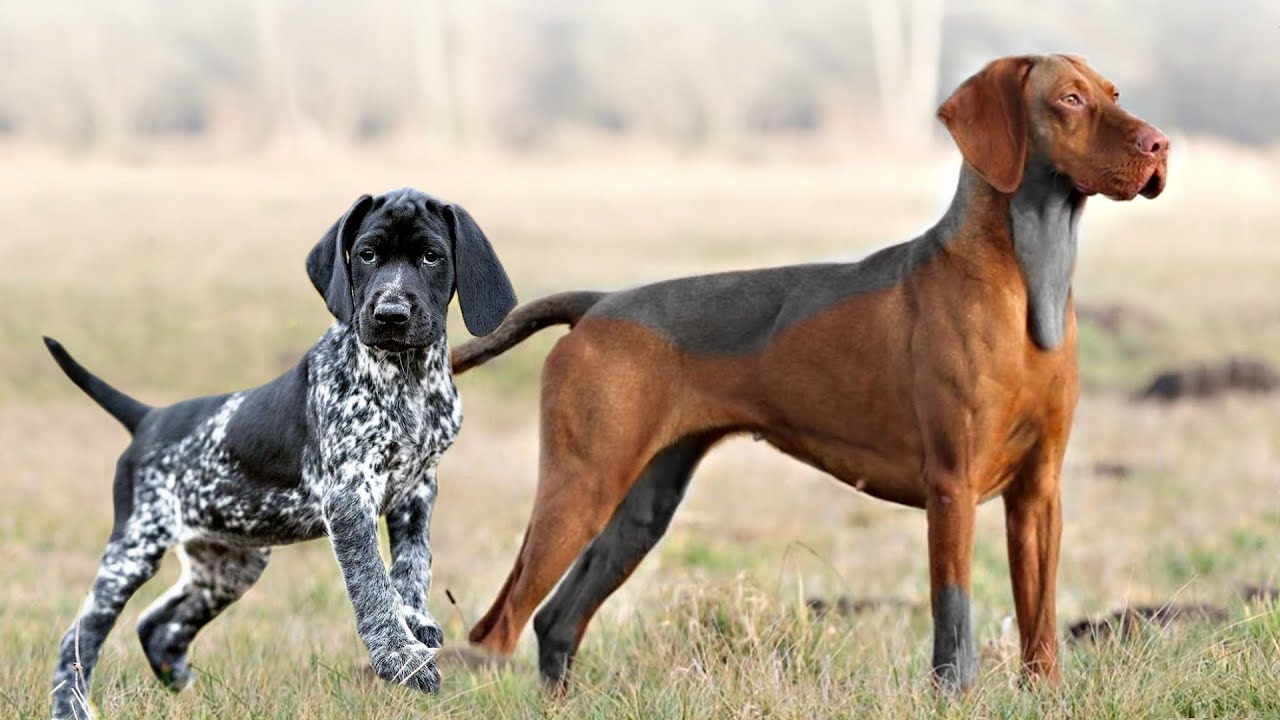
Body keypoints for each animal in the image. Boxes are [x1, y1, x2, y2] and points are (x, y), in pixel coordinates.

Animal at [45, 188, 517, 712]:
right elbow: (373, 582)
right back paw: (71, 707)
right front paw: (400, 657)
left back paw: (183, 688)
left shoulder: (417, 489)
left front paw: (416, 622)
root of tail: (147, 417)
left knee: (157, 625)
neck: (406, 378)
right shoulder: (349, 498)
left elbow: (413, 564)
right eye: (368, 255)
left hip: (231, 564)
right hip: (136, 547)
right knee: (78, 638)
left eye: (432, 257)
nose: (390, 314)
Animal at [450, 53, 1172, 686]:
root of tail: (598, 303)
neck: (1025, 286)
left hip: (639, 512)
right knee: (499, 631)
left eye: (1113, 92)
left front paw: (1046, 695)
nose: (1161, 145)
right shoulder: (952, 489)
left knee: (555, 622)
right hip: (581, 489)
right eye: (1070, 99)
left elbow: (1040, 626)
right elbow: (954, 626)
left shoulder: (1038, 494)